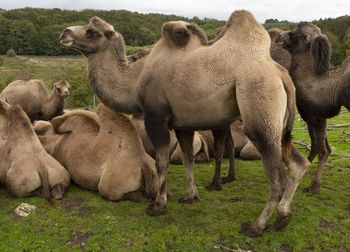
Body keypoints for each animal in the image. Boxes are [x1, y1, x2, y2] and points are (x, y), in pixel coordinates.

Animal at [278, 22, 350, 194]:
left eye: (293, 33)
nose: (278, 36)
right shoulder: (314, 116)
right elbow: (319, 147)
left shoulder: (317, 116)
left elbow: (323, 150)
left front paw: (314, 186)